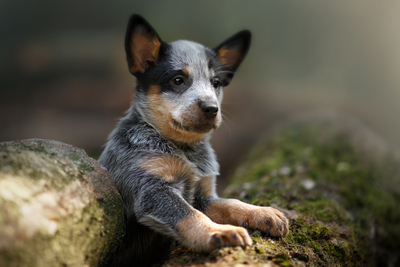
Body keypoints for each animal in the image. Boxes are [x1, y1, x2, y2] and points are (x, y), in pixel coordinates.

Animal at [99, 14, 288, 267]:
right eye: (178, 80)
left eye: (215, 83)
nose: (211, 108)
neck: (184, 150)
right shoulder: (152, 190)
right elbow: (189, 215)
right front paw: (219, 232)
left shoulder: (202, 195)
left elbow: (229, 203)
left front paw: (262, 213)